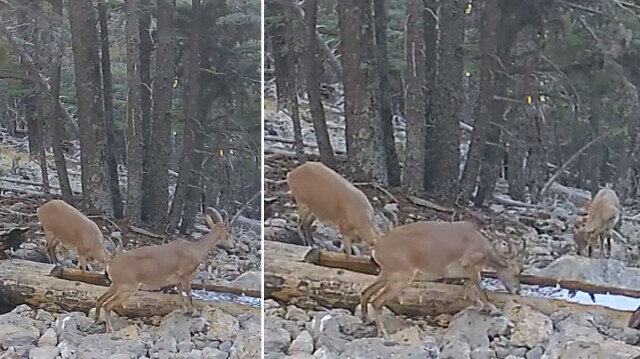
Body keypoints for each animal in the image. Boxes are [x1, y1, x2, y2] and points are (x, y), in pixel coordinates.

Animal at [95, 208, 232, 334]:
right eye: (229, 231)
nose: (232, 244)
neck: (196, 250)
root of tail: (111, 264)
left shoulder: (178, 279)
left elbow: (180, 293)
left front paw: (184, 310)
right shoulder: (185, 276)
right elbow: (188, 293)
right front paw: (194, 312)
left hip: (115, 285)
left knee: (100, 299)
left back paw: (97, 320)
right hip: (127, 287)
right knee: (107, 305)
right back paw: (110, 329)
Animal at [360, 221, 520, 338]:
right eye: (517, 271)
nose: (516, 290)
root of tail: (376, 249)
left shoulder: (466, 272)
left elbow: (470, 289)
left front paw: (479, 306)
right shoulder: (470, 266)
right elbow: (480, 287)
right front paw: (492, 309)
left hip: (386, 274)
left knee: (365, 292)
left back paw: (367, 320)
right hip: (401, 278)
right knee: (377, 301)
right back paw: (383, 333)